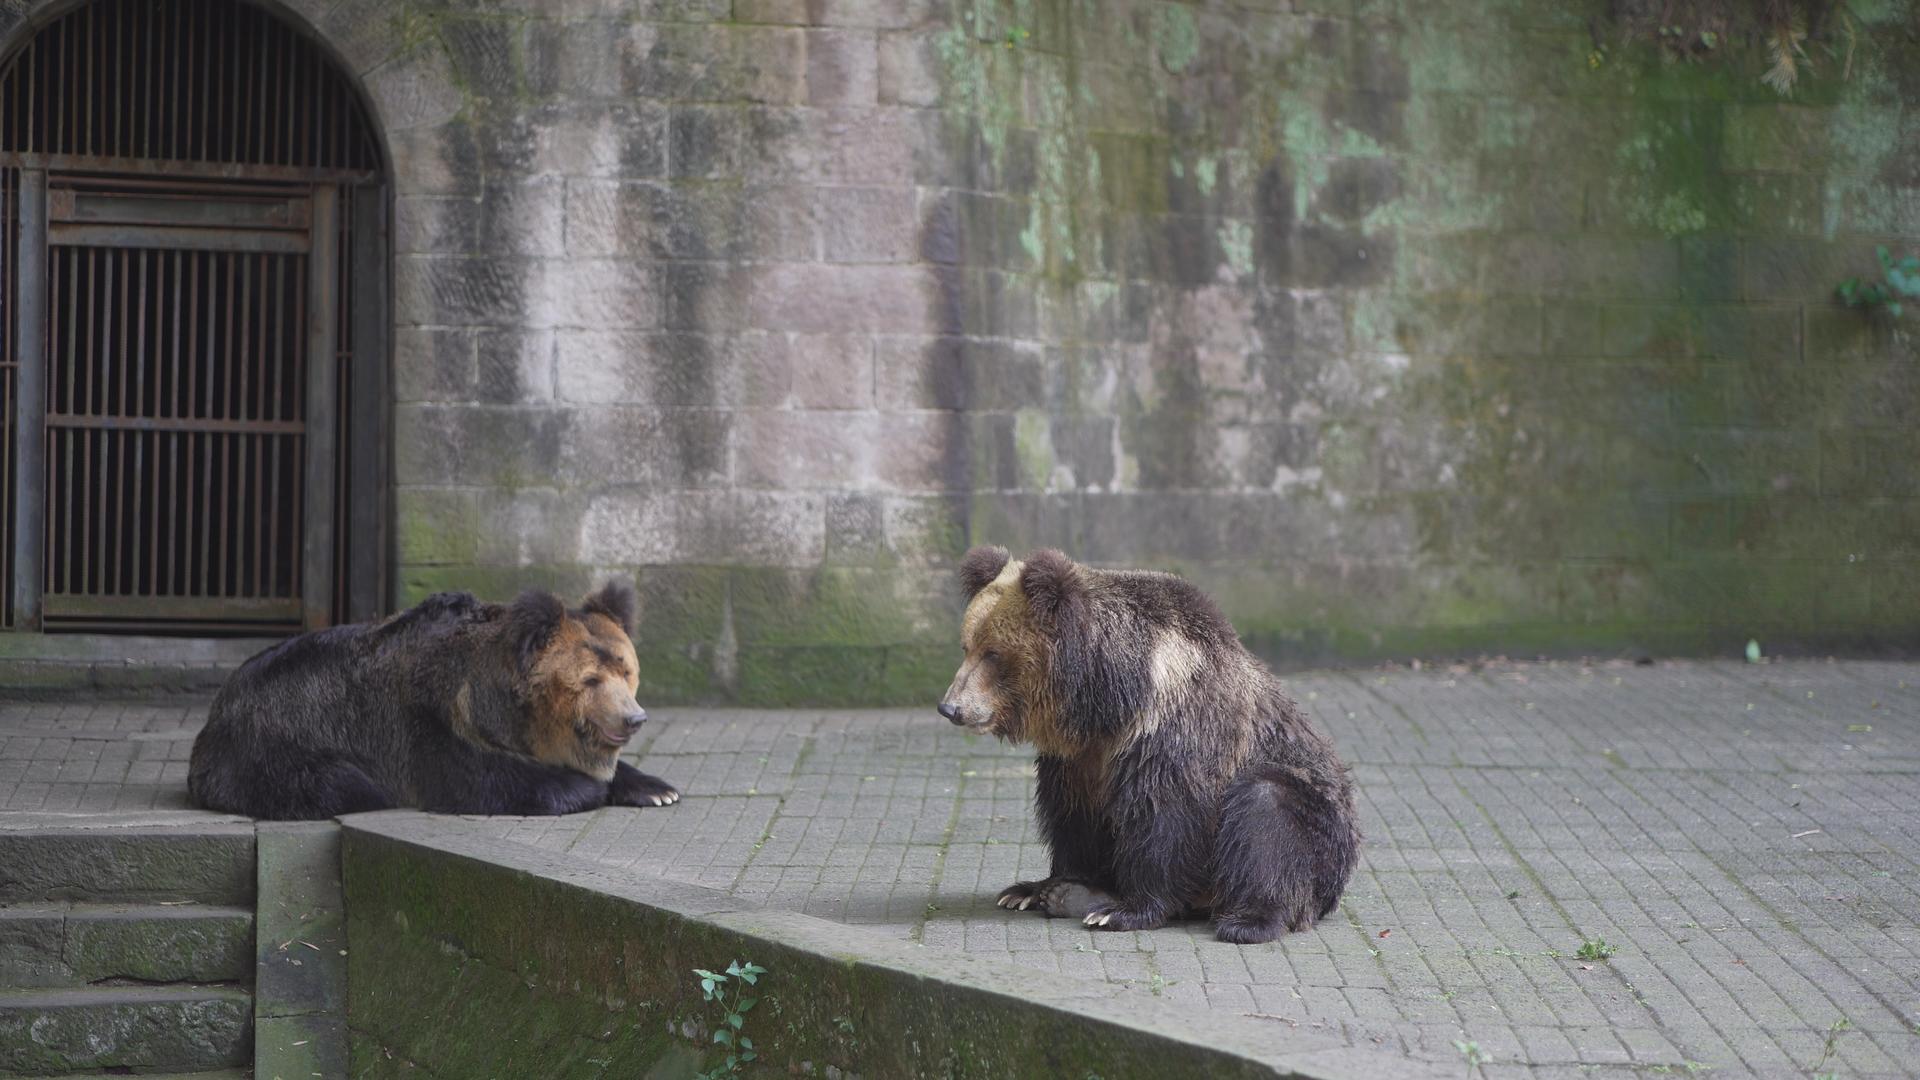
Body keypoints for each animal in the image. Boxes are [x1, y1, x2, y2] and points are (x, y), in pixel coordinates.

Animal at [187, 580, 683, 814]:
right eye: (590, 680)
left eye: (625, 670)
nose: (634, 718)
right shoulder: (429, 727)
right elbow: (489, 783)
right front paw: (584, 786)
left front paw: (658, 789)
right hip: (276, 745)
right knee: (340, 784)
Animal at [936, 541, 1359, 937]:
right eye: (966, 647)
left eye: (993, 653)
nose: (951, 707)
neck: (1110, 699)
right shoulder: (1080, 759)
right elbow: (1073, 816)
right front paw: (1039, 888)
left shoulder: (1172, 730)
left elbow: (1164, 815)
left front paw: (1124, 910)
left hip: (1318, 823)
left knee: (1266, 809)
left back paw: (1249, 920)